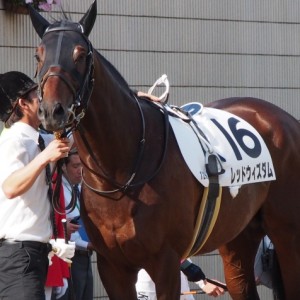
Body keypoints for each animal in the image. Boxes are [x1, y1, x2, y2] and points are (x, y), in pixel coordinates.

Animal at [28, 1, 300, 298]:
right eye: (38, 55)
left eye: (79, 54)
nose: (52, 110)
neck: (124, 169)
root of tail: (284, 120)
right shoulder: (113, 266)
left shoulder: (165, 262)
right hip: (239, 235)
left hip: (287, 235)